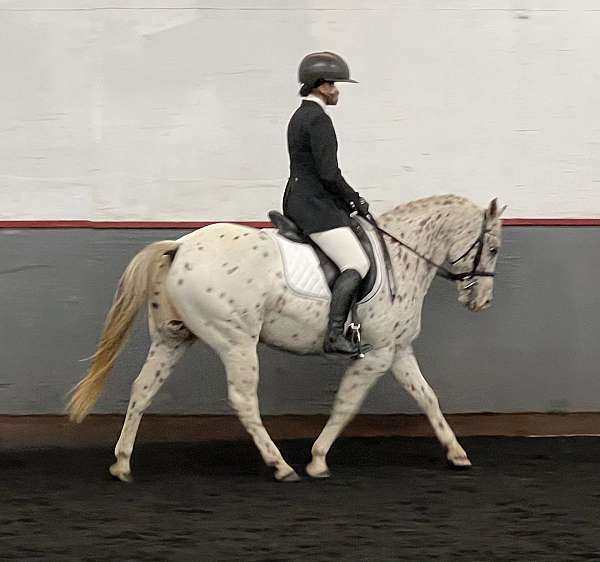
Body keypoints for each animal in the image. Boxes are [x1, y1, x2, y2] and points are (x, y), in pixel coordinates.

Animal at [68, 194, 504, 482]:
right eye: (494, 248)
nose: (482, 302)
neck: (402, 258)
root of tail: (179, 245)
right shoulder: (378, 354)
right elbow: (346, 405)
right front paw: (318, 460)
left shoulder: (397, 350)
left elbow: (427, 397)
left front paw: (457, 454)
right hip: (237, 341)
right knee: (243, 401)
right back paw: (281, 466)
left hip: (172, 340)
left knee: (142, 389)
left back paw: (122, 463)